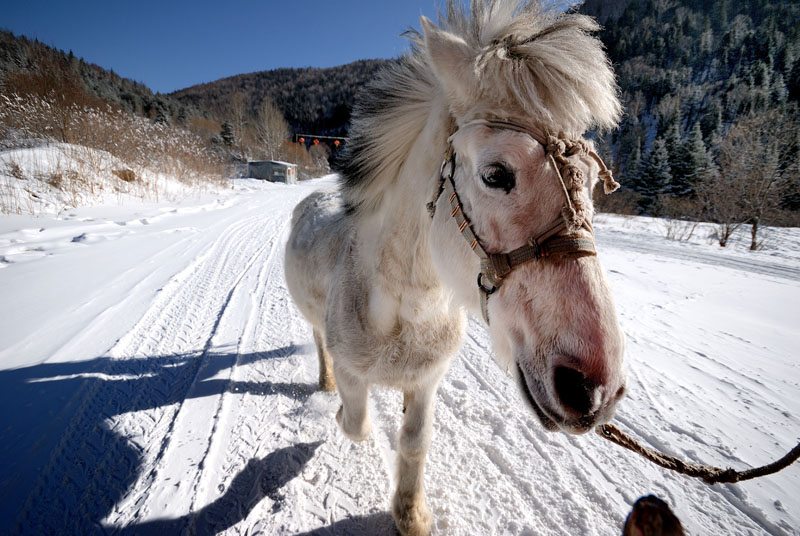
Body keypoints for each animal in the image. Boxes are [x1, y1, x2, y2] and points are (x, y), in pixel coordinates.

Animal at [284, 2, 628, 532]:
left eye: (593, 180)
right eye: (496, 174)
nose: (594, 387)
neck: (403, 306)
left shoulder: (428, 381)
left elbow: (415, 441)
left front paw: (411, 514)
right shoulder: (355, 372)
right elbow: (357, 423)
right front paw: (341, 413)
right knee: (320, 345)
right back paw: (324, 385)